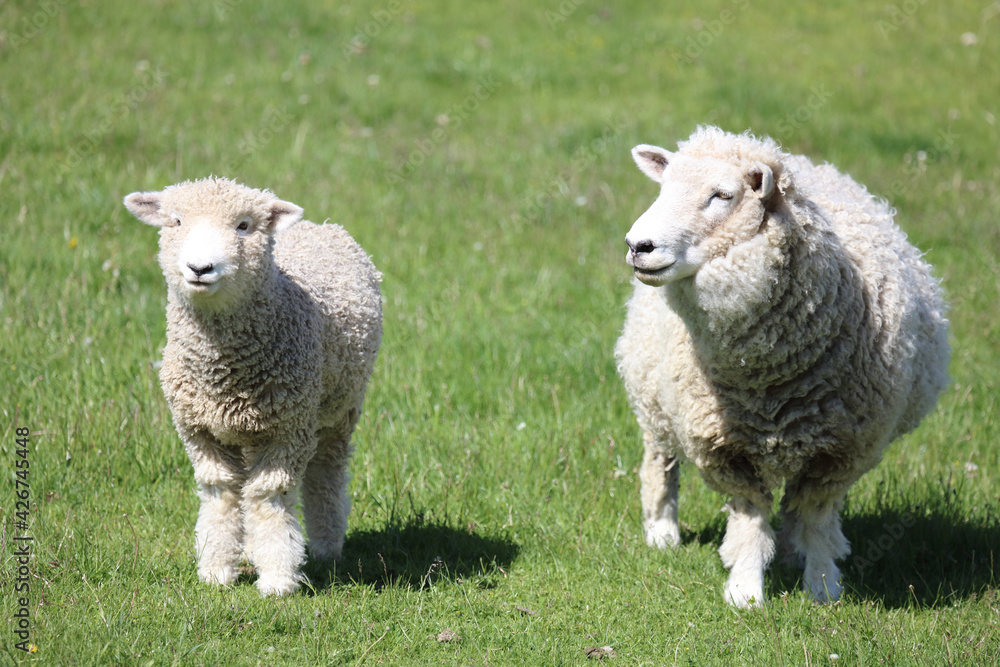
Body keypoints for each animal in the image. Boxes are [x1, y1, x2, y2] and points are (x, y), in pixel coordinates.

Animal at [124, 177, 382, 596]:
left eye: (243, 226)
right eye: (176, 221)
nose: (200, 268)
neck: (225, 370)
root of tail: (323, 226)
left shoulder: (289, 428)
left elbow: (268, 497)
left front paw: (278, 578)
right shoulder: (198, 429)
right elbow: (221, 494)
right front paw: (216, 569)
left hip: (339, 409)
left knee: (325, 474)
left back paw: (327, 545)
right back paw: (247, 550)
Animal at [614, 126, 949, 607]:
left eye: (722, 195)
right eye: (663, 187)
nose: (638, 247)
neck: (766, 376)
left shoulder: (843, 449)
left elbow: (817, 517)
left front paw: (823, 588)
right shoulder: (723, 446)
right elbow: (750, 518)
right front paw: (746, 593)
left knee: (795, 503)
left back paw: (794, 551)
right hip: (654, 397)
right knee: (661, 460)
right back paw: (662, 533)